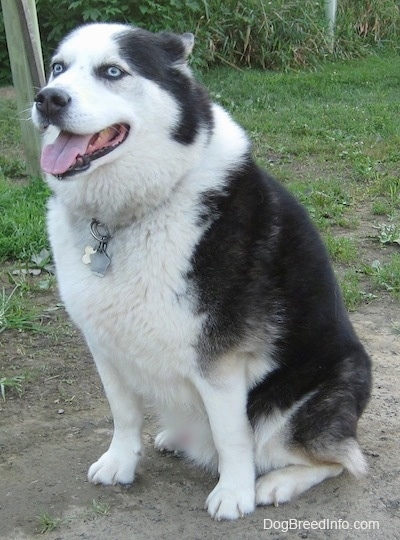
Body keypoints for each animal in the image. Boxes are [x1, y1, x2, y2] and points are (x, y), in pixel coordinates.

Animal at [32, 23, 372, 520]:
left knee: (339, 458)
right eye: (58, 68)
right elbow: (123, 413)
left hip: (304, 400)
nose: (47, 99)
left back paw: (276, 483)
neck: (127, 217)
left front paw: (234, 493)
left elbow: (233, 437)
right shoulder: (104, 343)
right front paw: (119, 463)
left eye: (113, 71)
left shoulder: (220, 360)